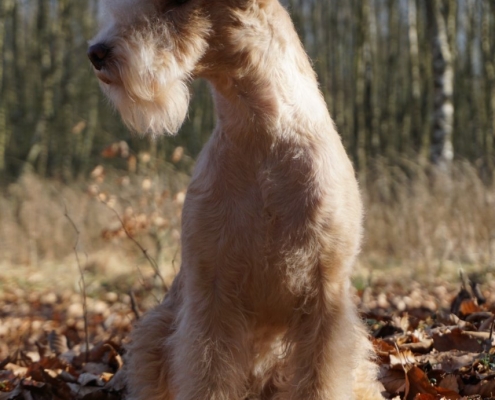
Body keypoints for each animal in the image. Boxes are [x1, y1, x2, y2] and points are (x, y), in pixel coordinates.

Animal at [88, 1, 384, 398]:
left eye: (176, 4)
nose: (96, 53)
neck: (262, 135)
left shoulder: (327, 292)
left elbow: (320, 378)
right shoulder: (211, 292)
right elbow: (207, 373)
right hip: (156, 329)